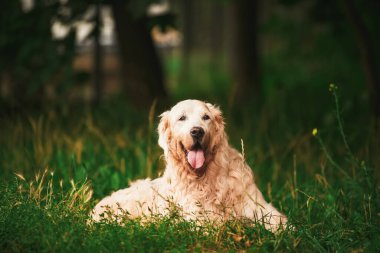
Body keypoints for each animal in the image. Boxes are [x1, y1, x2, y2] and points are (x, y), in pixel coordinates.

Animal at [92, 99, 286, 231]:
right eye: (182, 118)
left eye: (206, 117)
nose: (197, 131)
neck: (205, 177)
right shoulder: (196, 216)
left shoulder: (258, 207)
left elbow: (281, 223)